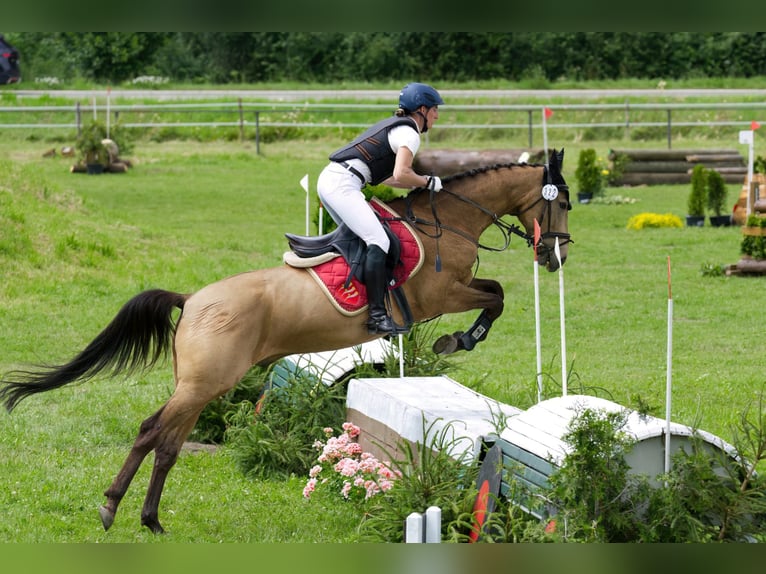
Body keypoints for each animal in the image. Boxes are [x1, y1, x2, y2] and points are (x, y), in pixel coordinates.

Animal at [0, 148, 572, 536]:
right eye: (563, 201)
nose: (557, 256)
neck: (447, 222)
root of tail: (193, 299)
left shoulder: (453, 289)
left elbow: (495, 294)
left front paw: (457, 340)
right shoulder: (443, 292)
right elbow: (496, 297)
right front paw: (457, 341)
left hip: (201, 385)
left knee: (166, 443)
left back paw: (149, 518)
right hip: (206, 382)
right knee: (151, 433)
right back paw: (113, 508)